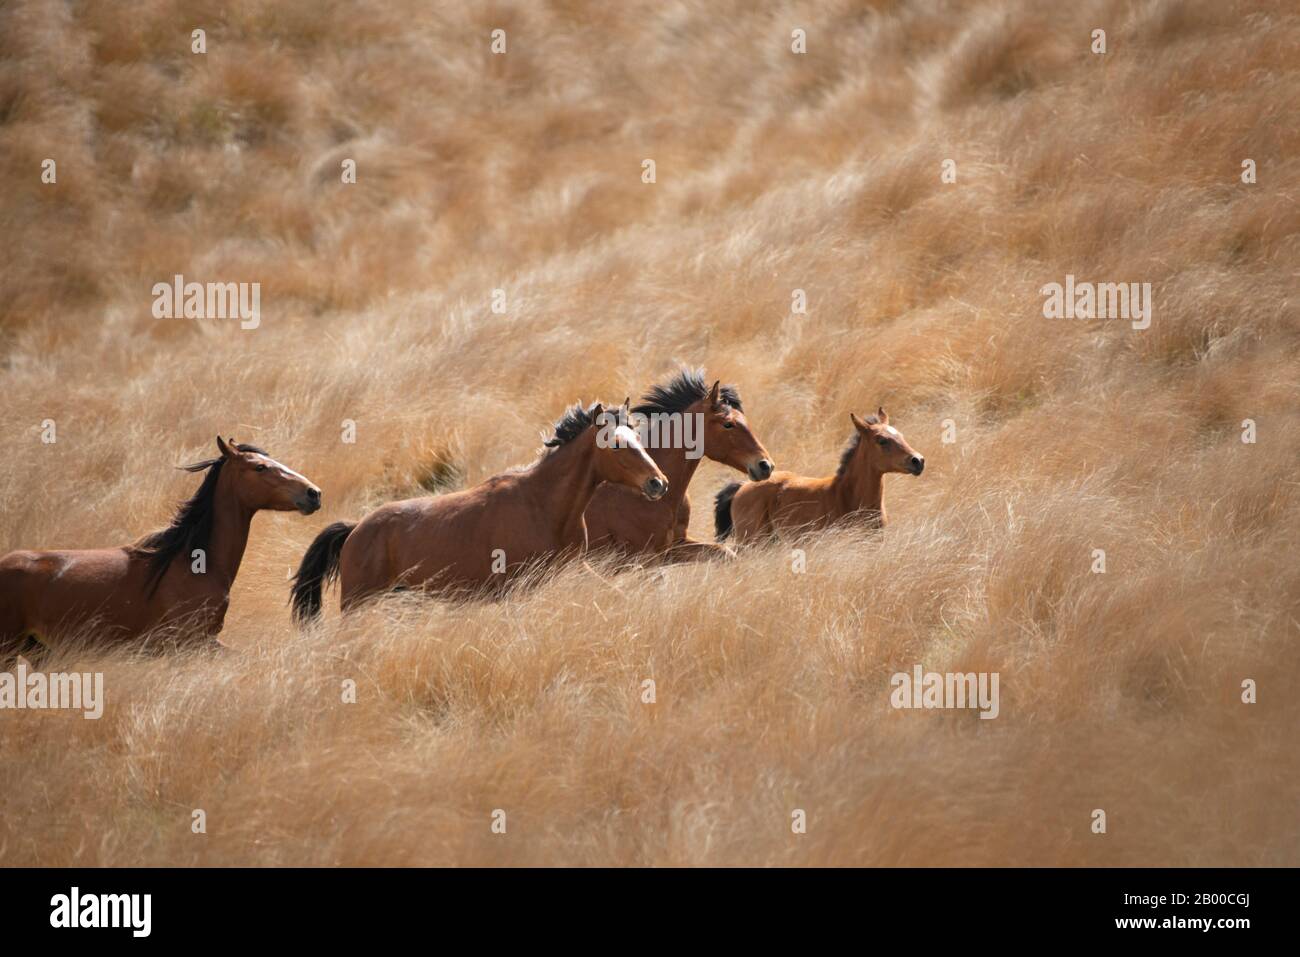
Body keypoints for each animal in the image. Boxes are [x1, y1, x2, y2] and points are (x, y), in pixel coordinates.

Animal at [288, 397, 665, 616]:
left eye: (637, 437)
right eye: (615, 445)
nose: (658, 483)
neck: (544, 506)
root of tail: (355, 531)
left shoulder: (573, 568)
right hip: (360, 603)